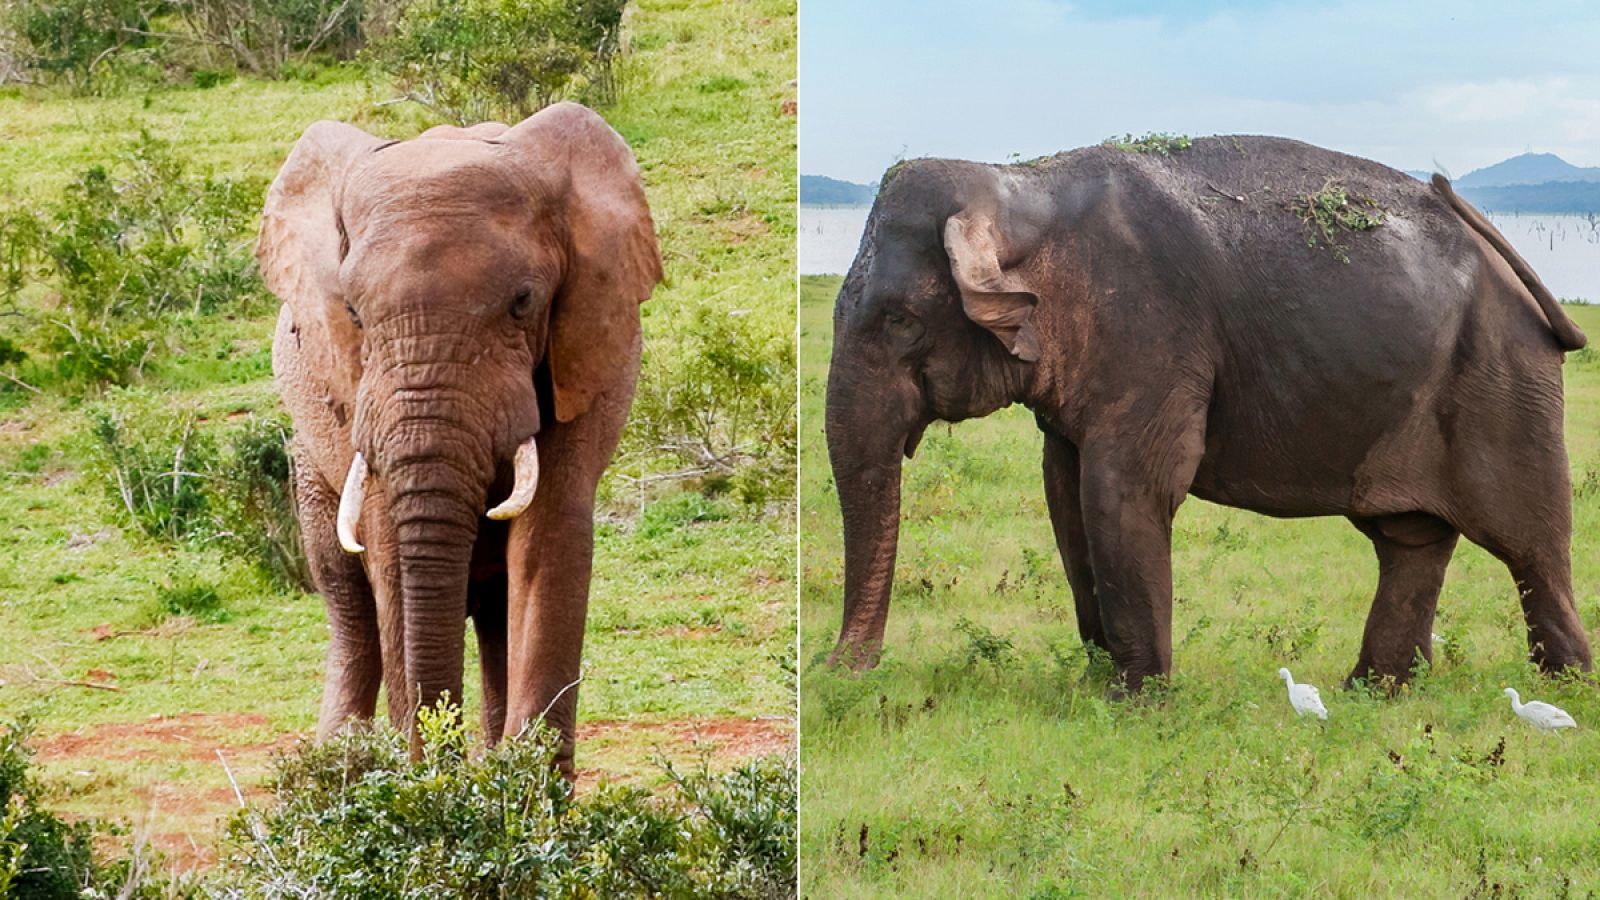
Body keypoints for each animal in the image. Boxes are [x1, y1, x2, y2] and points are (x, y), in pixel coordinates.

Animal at [258, 102, 662, 773]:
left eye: (524, 302)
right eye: (354, 314)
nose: (443, 761)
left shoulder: (586, 347)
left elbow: (548, 540)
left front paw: (524, 790)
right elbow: (389, 554)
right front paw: (423, 786)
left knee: (496, 610)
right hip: (310, 451)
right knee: (349, 605)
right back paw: (338, 769)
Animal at [825, 135, 1594, 692]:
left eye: (899, 321)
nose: (839, 672)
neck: (1023, 184)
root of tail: (1511, 267)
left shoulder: (1150, 332)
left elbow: (1125, 487)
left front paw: (1133, 701)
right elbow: (1065, 492)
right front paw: (1094, 684)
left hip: (1503, 385)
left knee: (1529, 542)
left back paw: (1563, 691)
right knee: (1411, 540)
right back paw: (1370, 693)